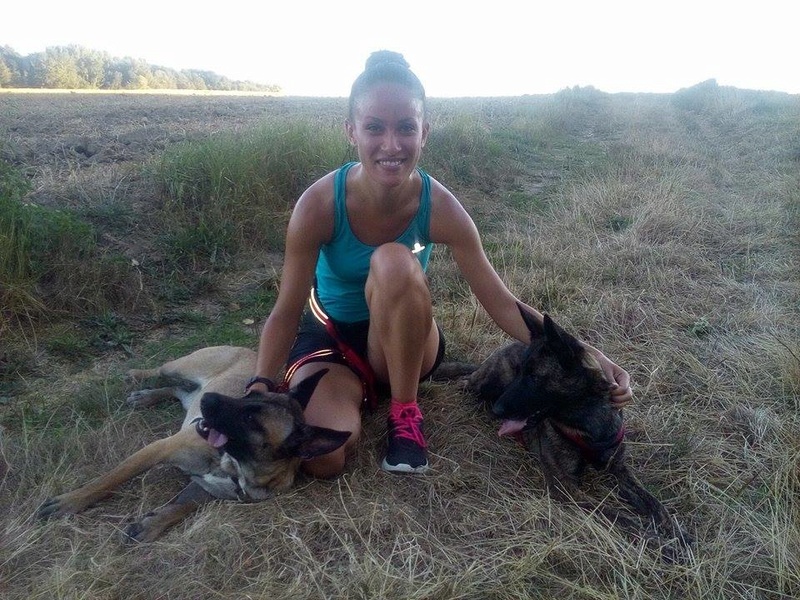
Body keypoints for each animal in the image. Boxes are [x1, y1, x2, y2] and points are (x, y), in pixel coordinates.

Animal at [37, 344, 350, 540]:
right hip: (179, 366)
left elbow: (181, 506)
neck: (235, 466)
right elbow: (108, 480)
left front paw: (153, 523)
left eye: (251, 418)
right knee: (161, 372)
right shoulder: (158, 449)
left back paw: (147, 396)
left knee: (177, 391)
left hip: (187, 391)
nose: (208, 400)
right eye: (249, 394)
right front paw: (70, 501)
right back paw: (137, 377)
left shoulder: (206, 489)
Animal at [434, 308, 692, 552]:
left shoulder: (620, 470)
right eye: (520, 372)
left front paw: (675, 532)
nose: (498, 410)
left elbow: (654, 503)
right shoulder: (567, 488)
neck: (587, 423)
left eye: (534, 377)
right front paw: (659, 543)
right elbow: (619, 516)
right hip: (489, 383)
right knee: (465, 383)